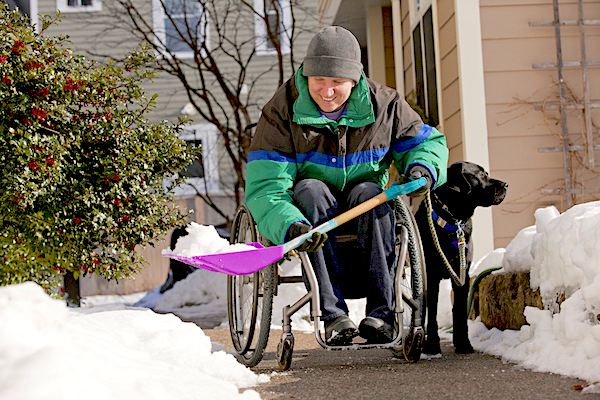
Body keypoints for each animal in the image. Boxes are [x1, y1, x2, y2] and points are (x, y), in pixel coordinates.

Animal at [414, 161, 508, 354]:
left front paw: (463, 343)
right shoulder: (431, 276)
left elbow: (459, 311)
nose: (506, 185)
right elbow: (432, 314)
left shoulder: (462, 274)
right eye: (480, 175)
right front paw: (432, 345)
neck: (452, 220)